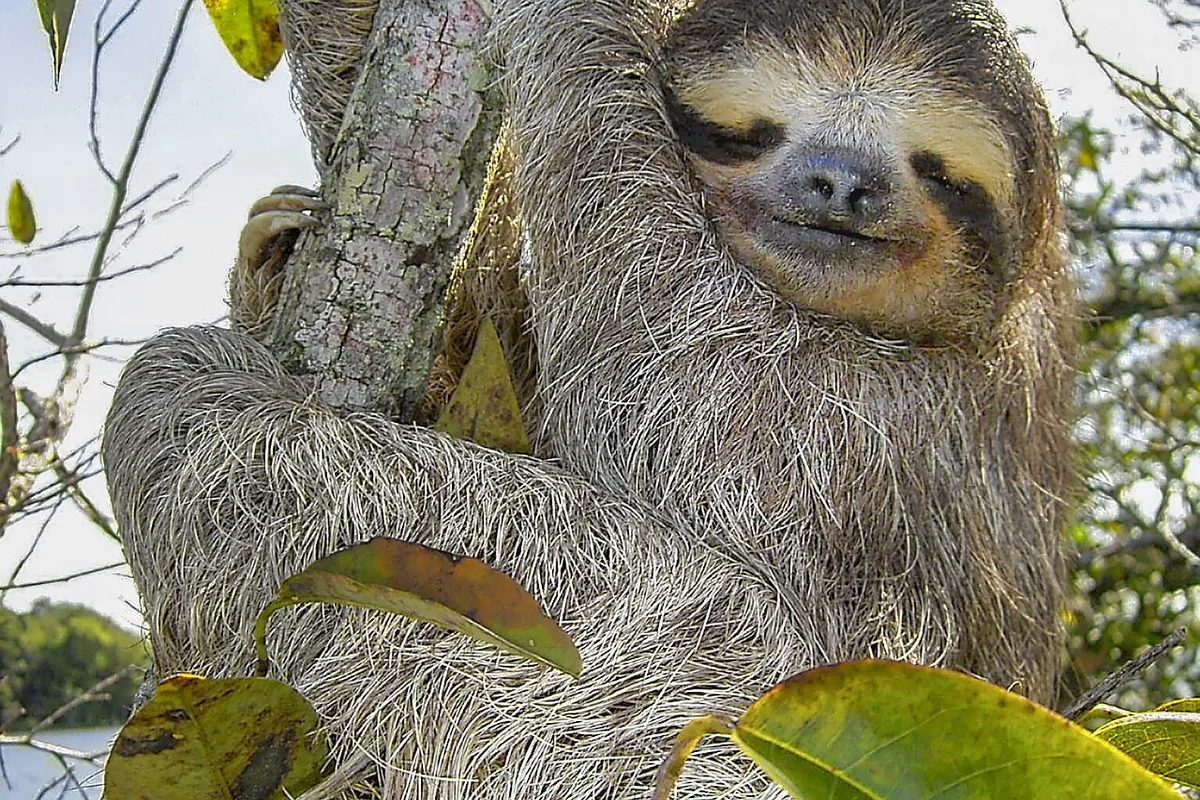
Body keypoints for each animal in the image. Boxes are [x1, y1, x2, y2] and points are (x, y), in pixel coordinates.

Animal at [102, 0, 1076, 797]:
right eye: (748, 131)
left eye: (936, 169)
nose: (840, 181)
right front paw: (271, 255)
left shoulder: (874, 426)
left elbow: (665, 373)